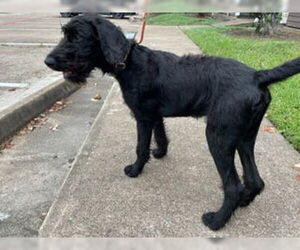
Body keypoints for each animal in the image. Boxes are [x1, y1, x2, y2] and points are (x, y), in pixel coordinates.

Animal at [44, 15, 300, 230]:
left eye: (77, 37)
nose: (47, 61)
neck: (129, 62)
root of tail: (257, 75)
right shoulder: (154, 115)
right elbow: (161, 136)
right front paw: (159, 153)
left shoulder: (143, 117)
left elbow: (141, 147)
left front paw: (135, 170)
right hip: (245, 138)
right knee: (255, 180)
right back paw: (244, 202)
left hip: (218, 137)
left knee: (233, 186)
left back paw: (217, 221)